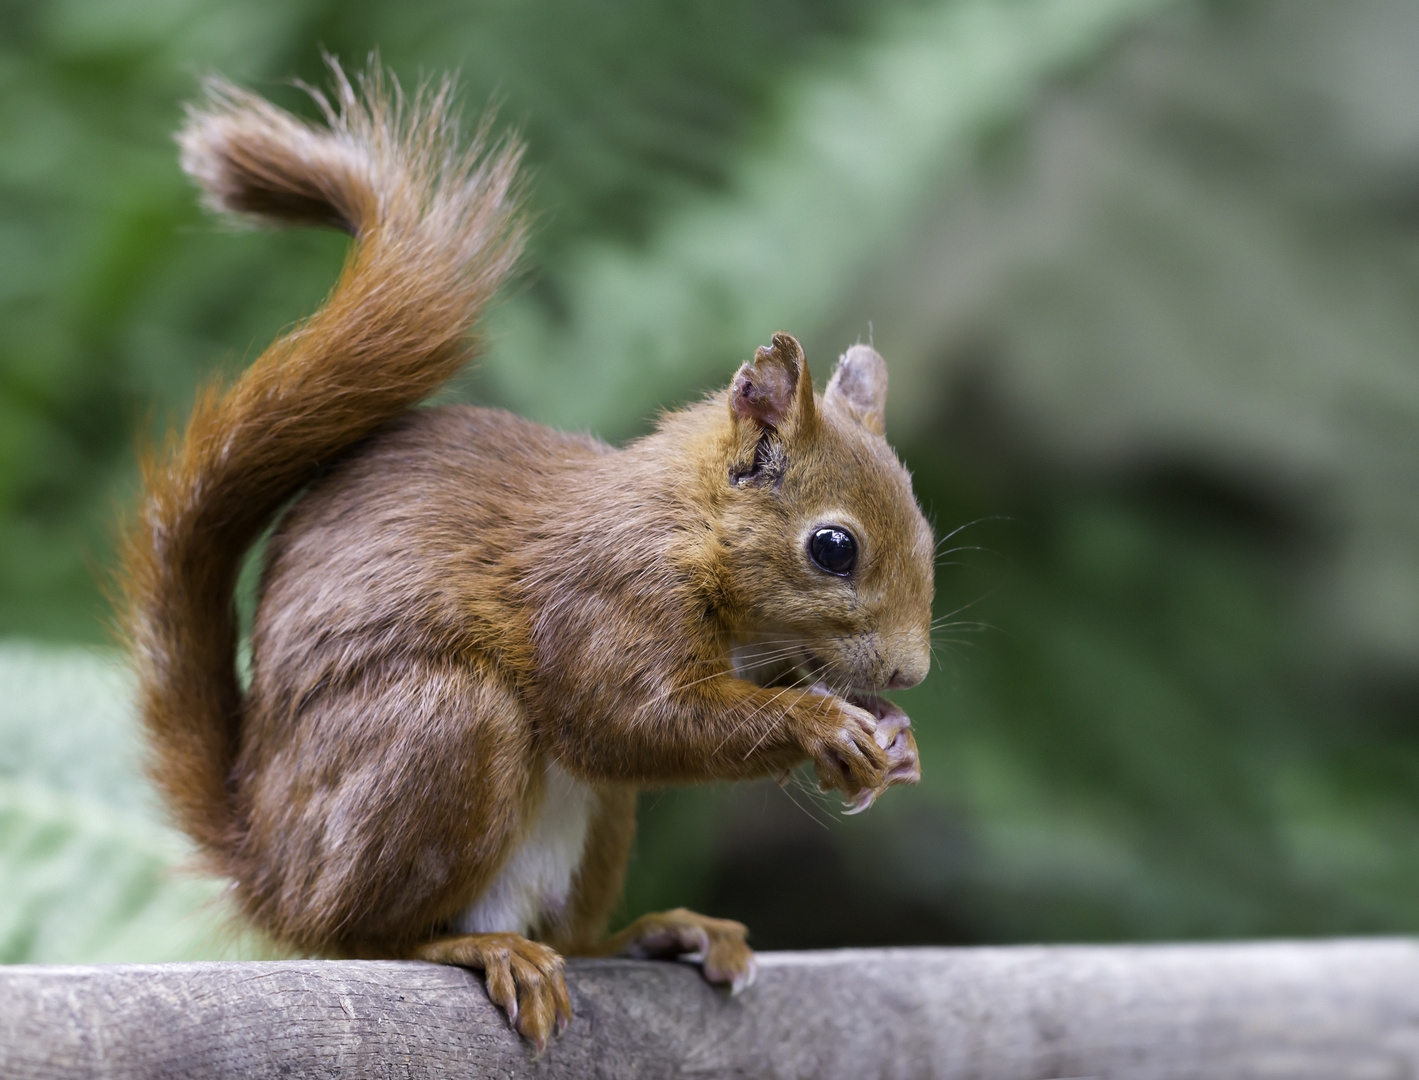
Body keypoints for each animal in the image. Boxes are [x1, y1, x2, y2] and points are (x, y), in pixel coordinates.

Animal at [116, 63, 936, 1050]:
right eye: (832, 547)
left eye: (926, 532)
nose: (910, 671)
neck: (687, 528)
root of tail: (265, 868)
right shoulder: (601, 598)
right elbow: (629, 720)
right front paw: (824, 726)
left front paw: (894, 740)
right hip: (445, 728)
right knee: (361, 936)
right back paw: (479, 948)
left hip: (595, 819)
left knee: (574, 932)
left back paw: (660, 931)